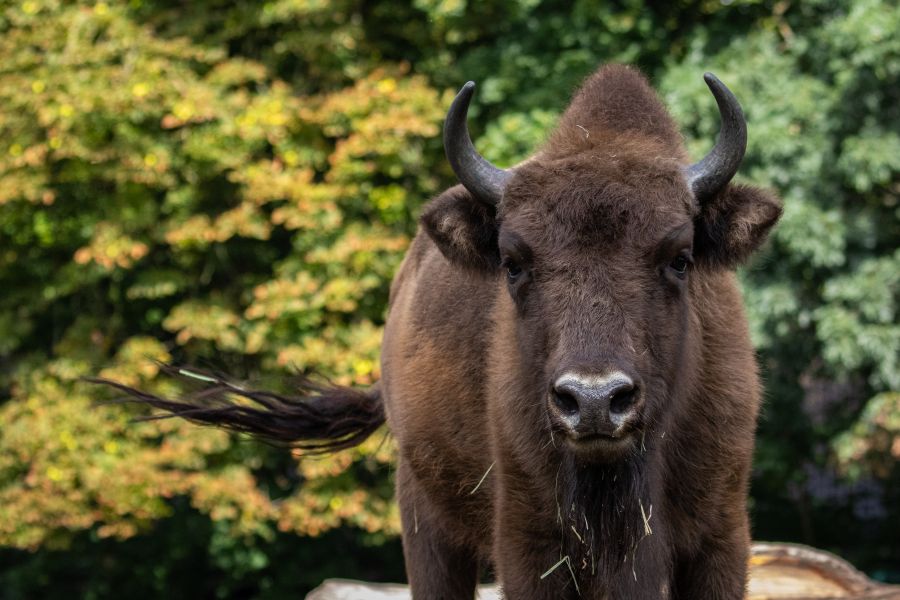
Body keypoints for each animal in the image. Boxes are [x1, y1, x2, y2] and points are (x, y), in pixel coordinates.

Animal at [103, 63, 780, 596]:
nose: (593, 400)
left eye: (680, 258)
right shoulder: (528, 544)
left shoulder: (720, 536)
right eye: (513, 262)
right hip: (425, 519)